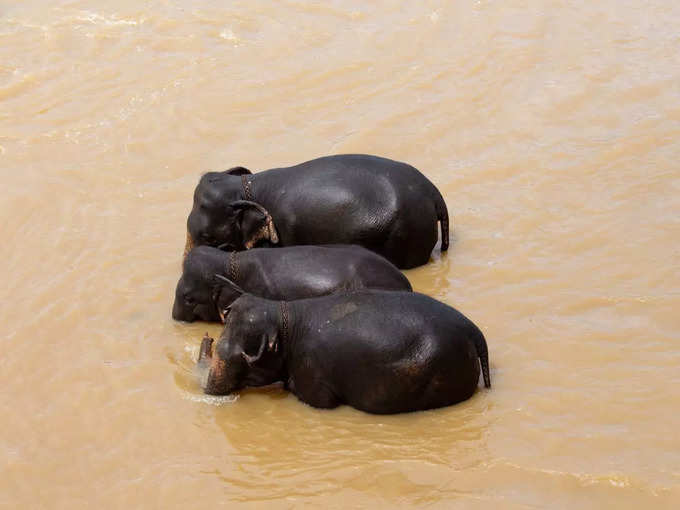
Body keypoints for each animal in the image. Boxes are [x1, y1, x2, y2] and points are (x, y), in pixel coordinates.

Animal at [197, 286, 488, 414]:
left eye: (241, 357)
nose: (207, 336)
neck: (284, 313)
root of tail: (473, 329)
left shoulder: (312, 369)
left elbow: (320, 402)